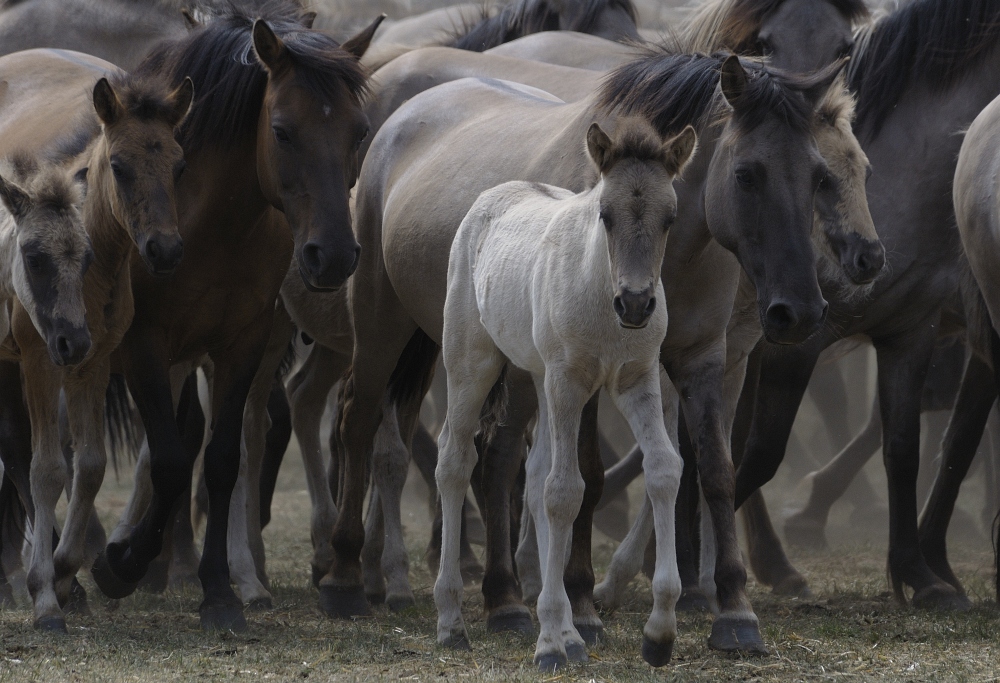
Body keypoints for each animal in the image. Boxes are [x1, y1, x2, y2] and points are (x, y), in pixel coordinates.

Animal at [438, 116, 696, 668]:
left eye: (670, 218)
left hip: (537, 376)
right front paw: (550, 643)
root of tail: (493, 194)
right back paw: (450, 621)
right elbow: (564, 492)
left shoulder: (636, 379)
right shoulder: (568, 381)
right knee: (455, 460)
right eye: (605, 215)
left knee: (533, 474)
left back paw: (567, 631)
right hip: (473, 363)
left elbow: (665, 469)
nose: (636, 303)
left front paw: (658, 632)